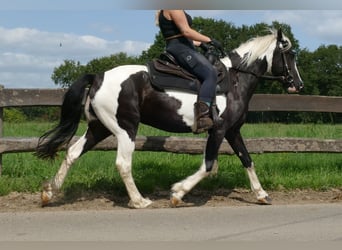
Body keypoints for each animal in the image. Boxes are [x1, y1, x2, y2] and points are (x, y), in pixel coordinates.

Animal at [36, 28, 304, 208]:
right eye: (289, 55)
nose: (298, 85)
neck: (236, 82)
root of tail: (98, 76)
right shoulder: (219, 130)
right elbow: (208, 165)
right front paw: (177, 193)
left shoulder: (232, 131)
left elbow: (247, 160)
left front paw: (262, 194)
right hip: (125, 129)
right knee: (123, 163)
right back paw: (139, 201)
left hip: (99, 128)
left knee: (72, 152)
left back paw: (49, 192)